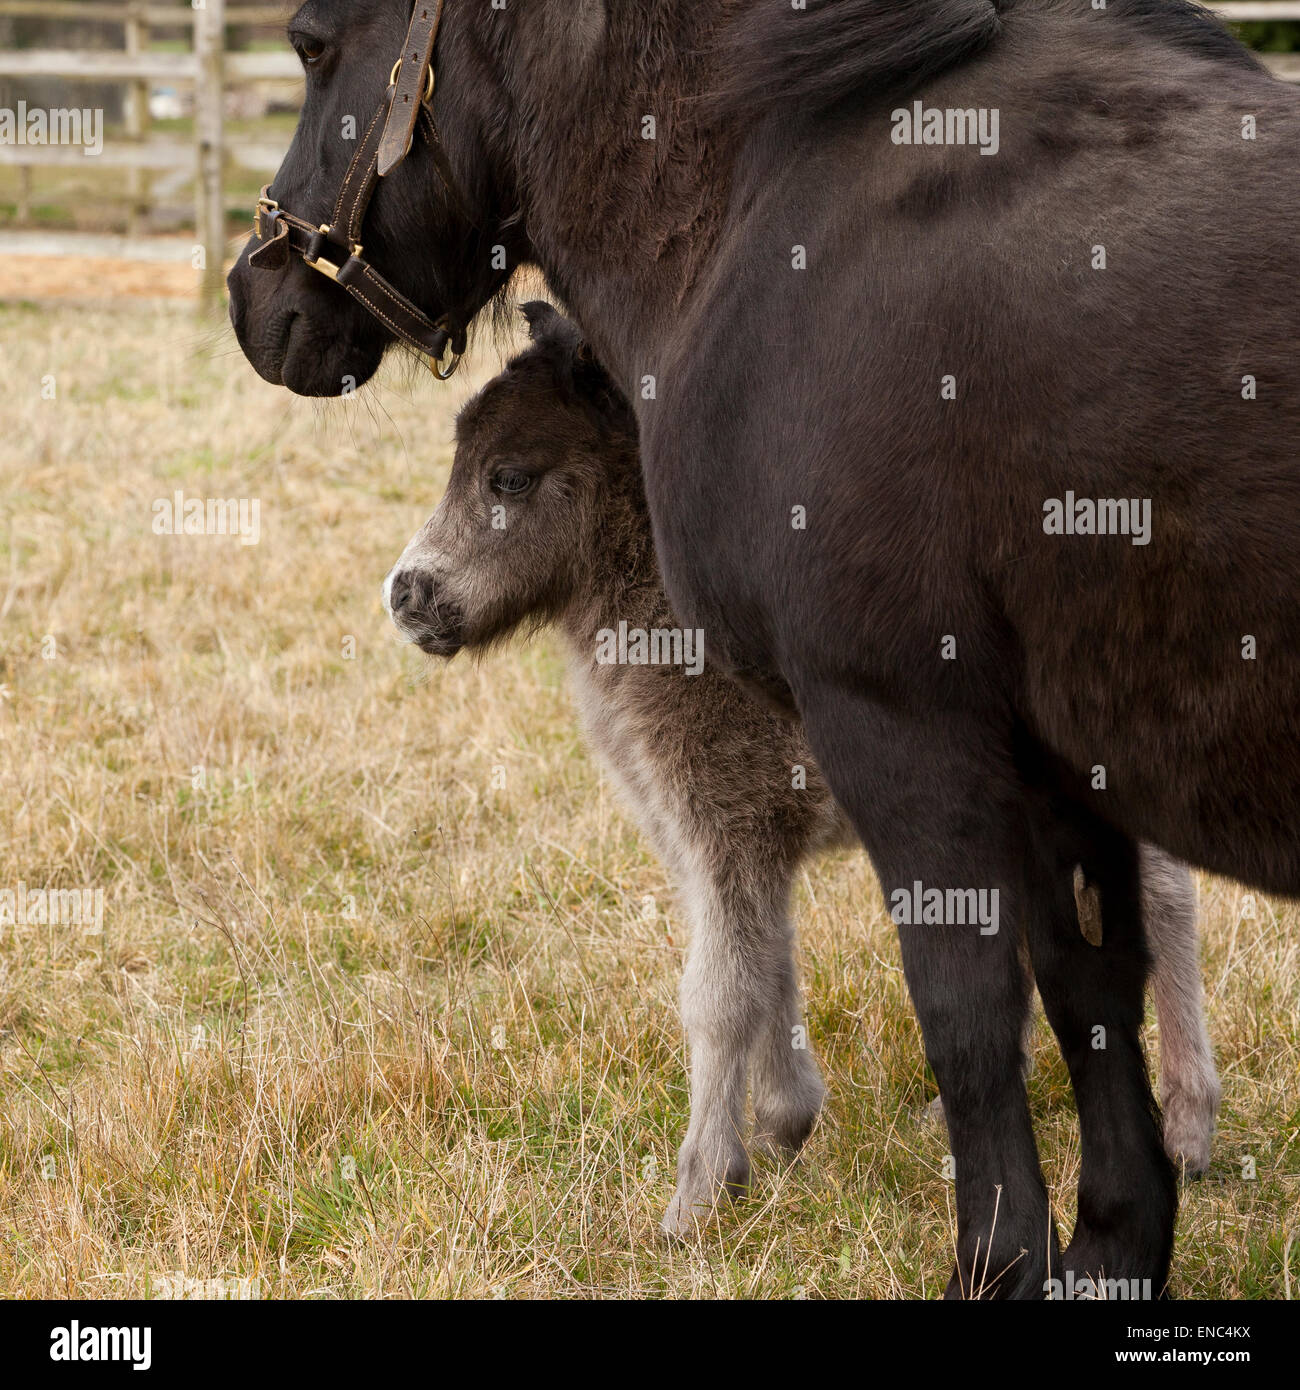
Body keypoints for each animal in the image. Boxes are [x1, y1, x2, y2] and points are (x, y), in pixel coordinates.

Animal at [228, 0, 1300, 1298]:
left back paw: (1190, 1118)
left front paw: (710, 1189)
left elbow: (791, 992)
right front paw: (790, 1125)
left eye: (307, 42)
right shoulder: (799, 818)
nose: (256, 302)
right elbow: (896, 969)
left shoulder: (856, 746)